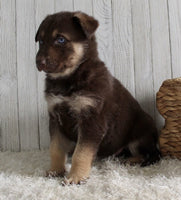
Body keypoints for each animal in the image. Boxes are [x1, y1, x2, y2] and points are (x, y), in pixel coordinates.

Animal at [35, 11, 160, 185]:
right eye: (40, 41)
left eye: (60, 39)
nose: (39, 62)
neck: (69, 78)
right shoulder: (55, 118)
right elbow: (55, 148)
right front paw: (55, 171)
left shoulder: (91, 119)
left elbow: (80, 153)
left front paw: (75, 177)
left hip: (140, 134)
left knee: (151, 155)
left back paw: (131, 161)